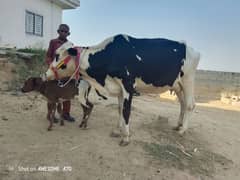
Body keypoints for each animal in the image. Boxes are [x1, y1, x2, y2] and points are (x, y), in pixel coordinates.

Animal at [45, 34, 201, 146]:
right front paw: (117, 131)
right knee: (182, 104)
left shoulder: (128, 86)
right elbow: (119, 109)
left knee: (190, 105)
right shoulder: (119, 88)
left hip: (188, 80)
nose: (46, 74)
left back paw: (182, 130)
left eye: (57, 55)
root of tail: (190, 47)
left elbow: (126, 111)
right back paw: (178, 125)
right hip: (178, 85)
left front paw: (125, 137)